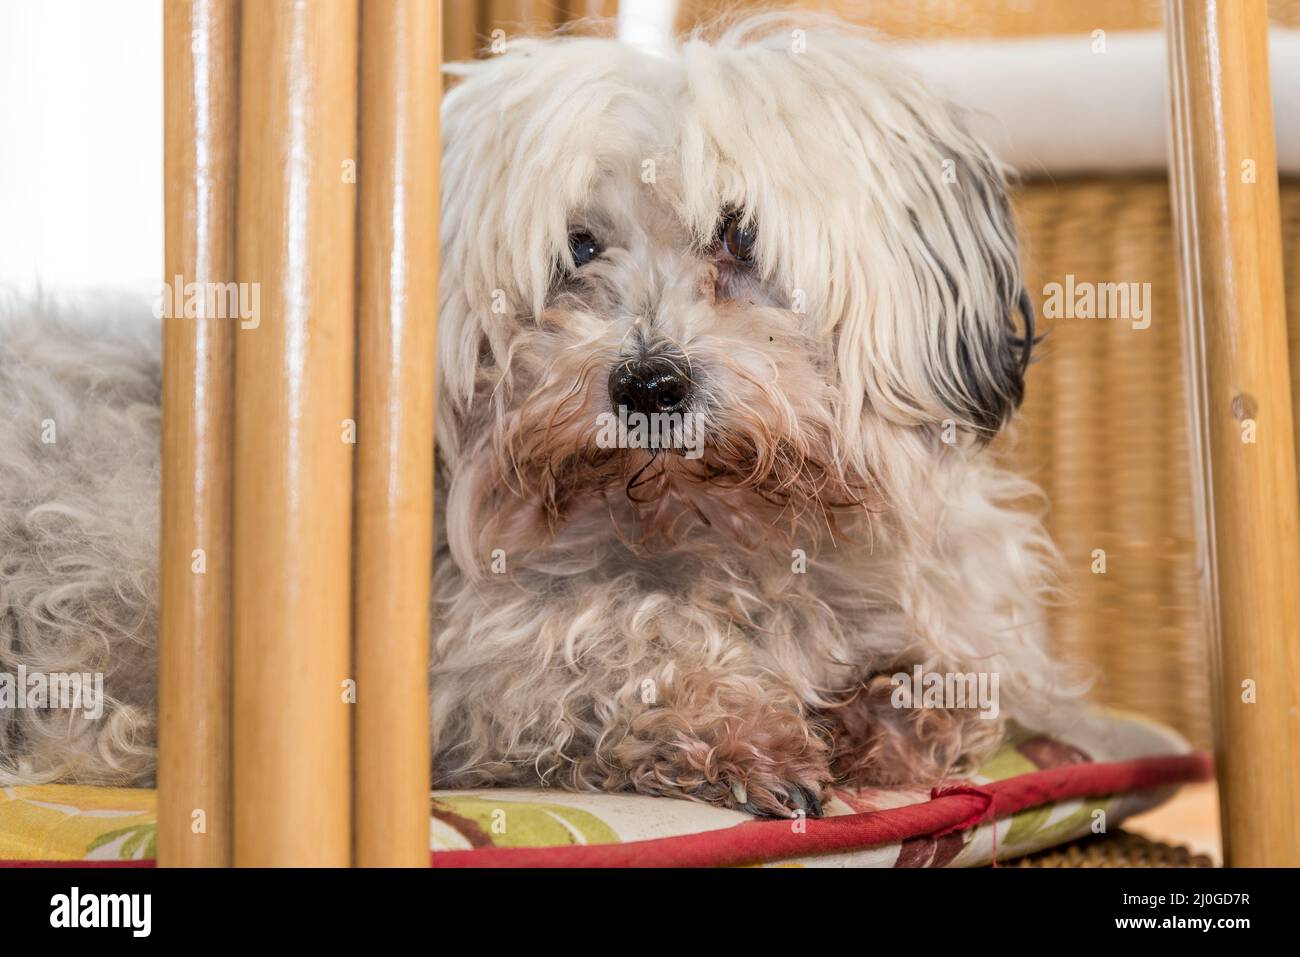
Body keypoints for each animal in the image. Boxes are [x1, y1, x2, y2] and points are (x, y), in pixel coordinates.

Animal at [0, 14, 1076, 816]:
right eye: (579, 248)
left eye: (737, 235)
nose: (648, 385)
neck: (721, 532)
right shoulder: (469, 666)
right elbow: (616, 640)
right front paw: (743, 729)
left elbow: (956, 674)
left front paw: (887, 707)